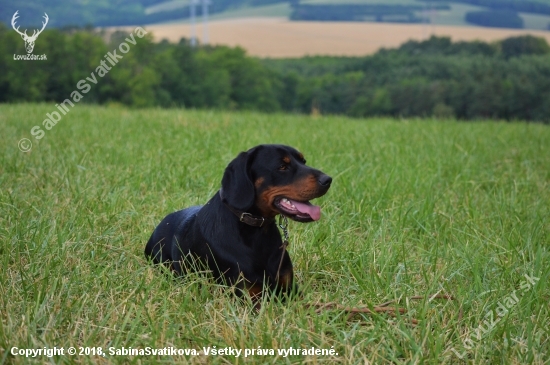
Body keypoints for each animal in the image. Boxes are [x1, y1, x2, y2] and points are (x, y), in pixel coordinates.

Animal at [146, 144, 332, 300]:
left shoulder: (290, 290)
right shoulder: (248, 296)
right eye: (282, 166)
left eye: (303, 161)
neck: (256, 232)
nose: (328, 180)